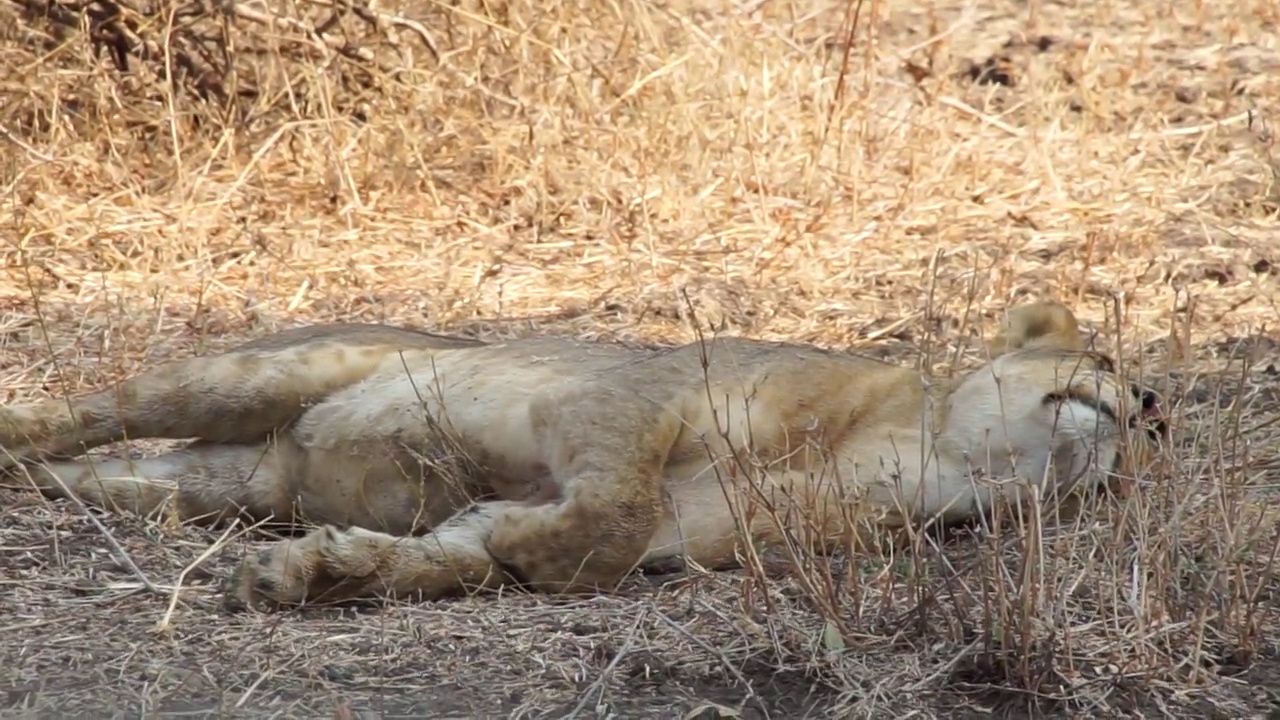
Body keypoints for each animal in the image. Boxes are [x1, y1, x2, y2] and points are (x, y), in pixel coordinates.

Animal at [0, 299, 1167, 607]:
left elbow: (489, 554)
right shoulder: (640, 393)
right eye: (1105, 352)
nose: (1152, 407)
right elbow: (607, 512)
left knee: (106, 478)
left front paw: (319, 572)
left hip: (212, 485)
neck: (930, 454)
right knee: (87, 413)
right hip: (271, 371)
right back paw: (15, 433)